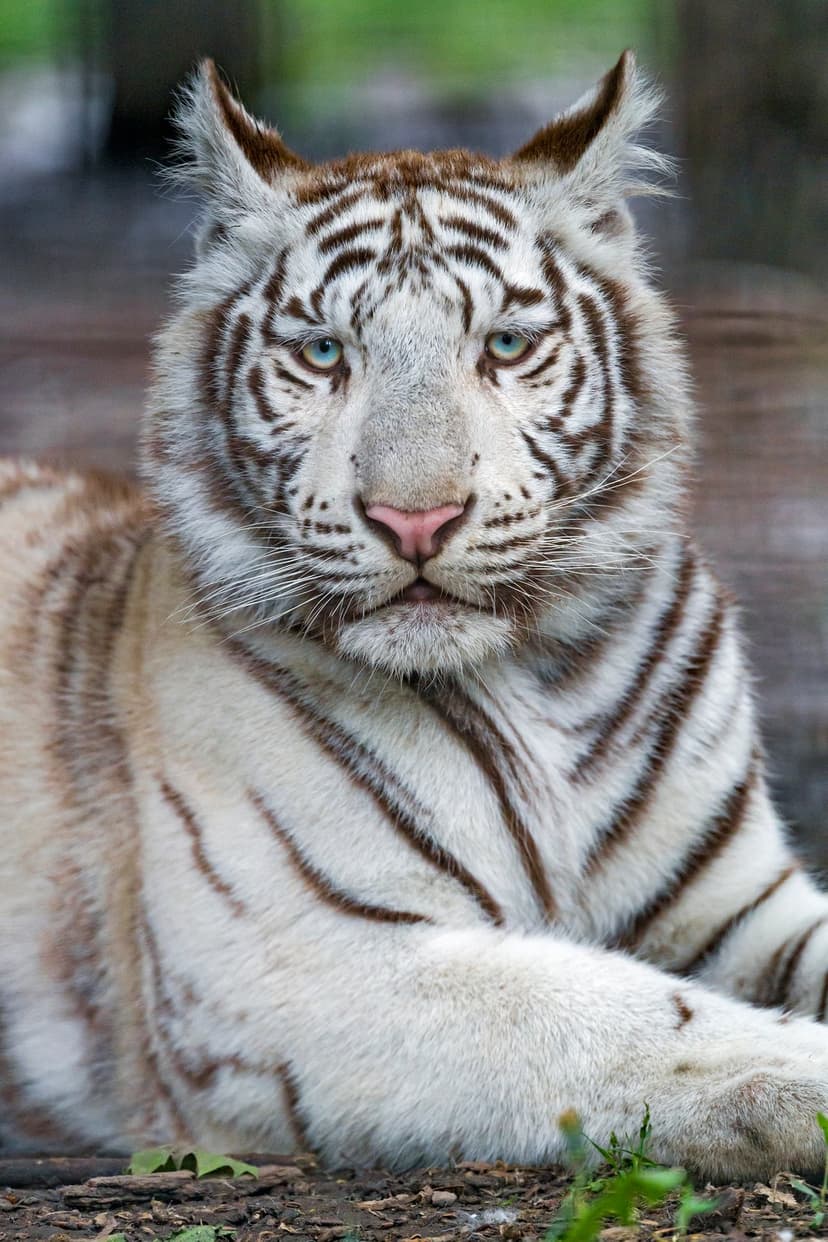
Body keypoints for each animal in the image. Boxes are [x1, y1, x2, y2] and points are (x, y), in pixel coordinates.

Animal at [1, 50, 827, 1182]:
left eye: (507, 345)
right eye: (322, 354)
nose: (415, 519)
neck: (533, 681)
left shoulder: (741, 904)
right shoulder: (293, 963)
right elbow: (613, 1012)